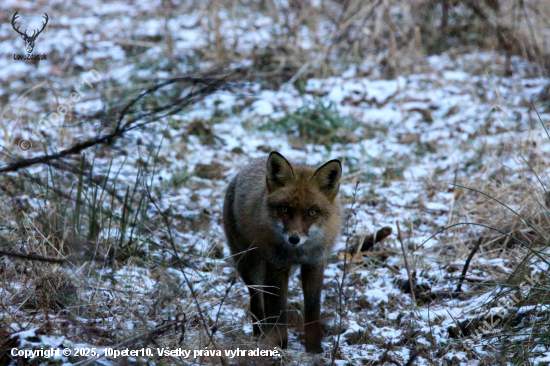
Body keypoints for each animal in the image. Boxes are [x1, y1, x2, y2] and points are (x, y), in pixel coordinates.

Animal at [222, 151, 342, 352]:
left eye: (312, 212)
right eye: (285, 209)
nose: (294, 239)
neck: (298, 252)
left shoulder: (314, 263)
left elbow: (312, 310)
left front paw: (314, 350)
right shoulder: (277, 265)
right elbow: (278, 309)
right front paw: (280, 346)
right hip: (251, 265)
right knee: (256, 301)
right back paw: (260, 336)